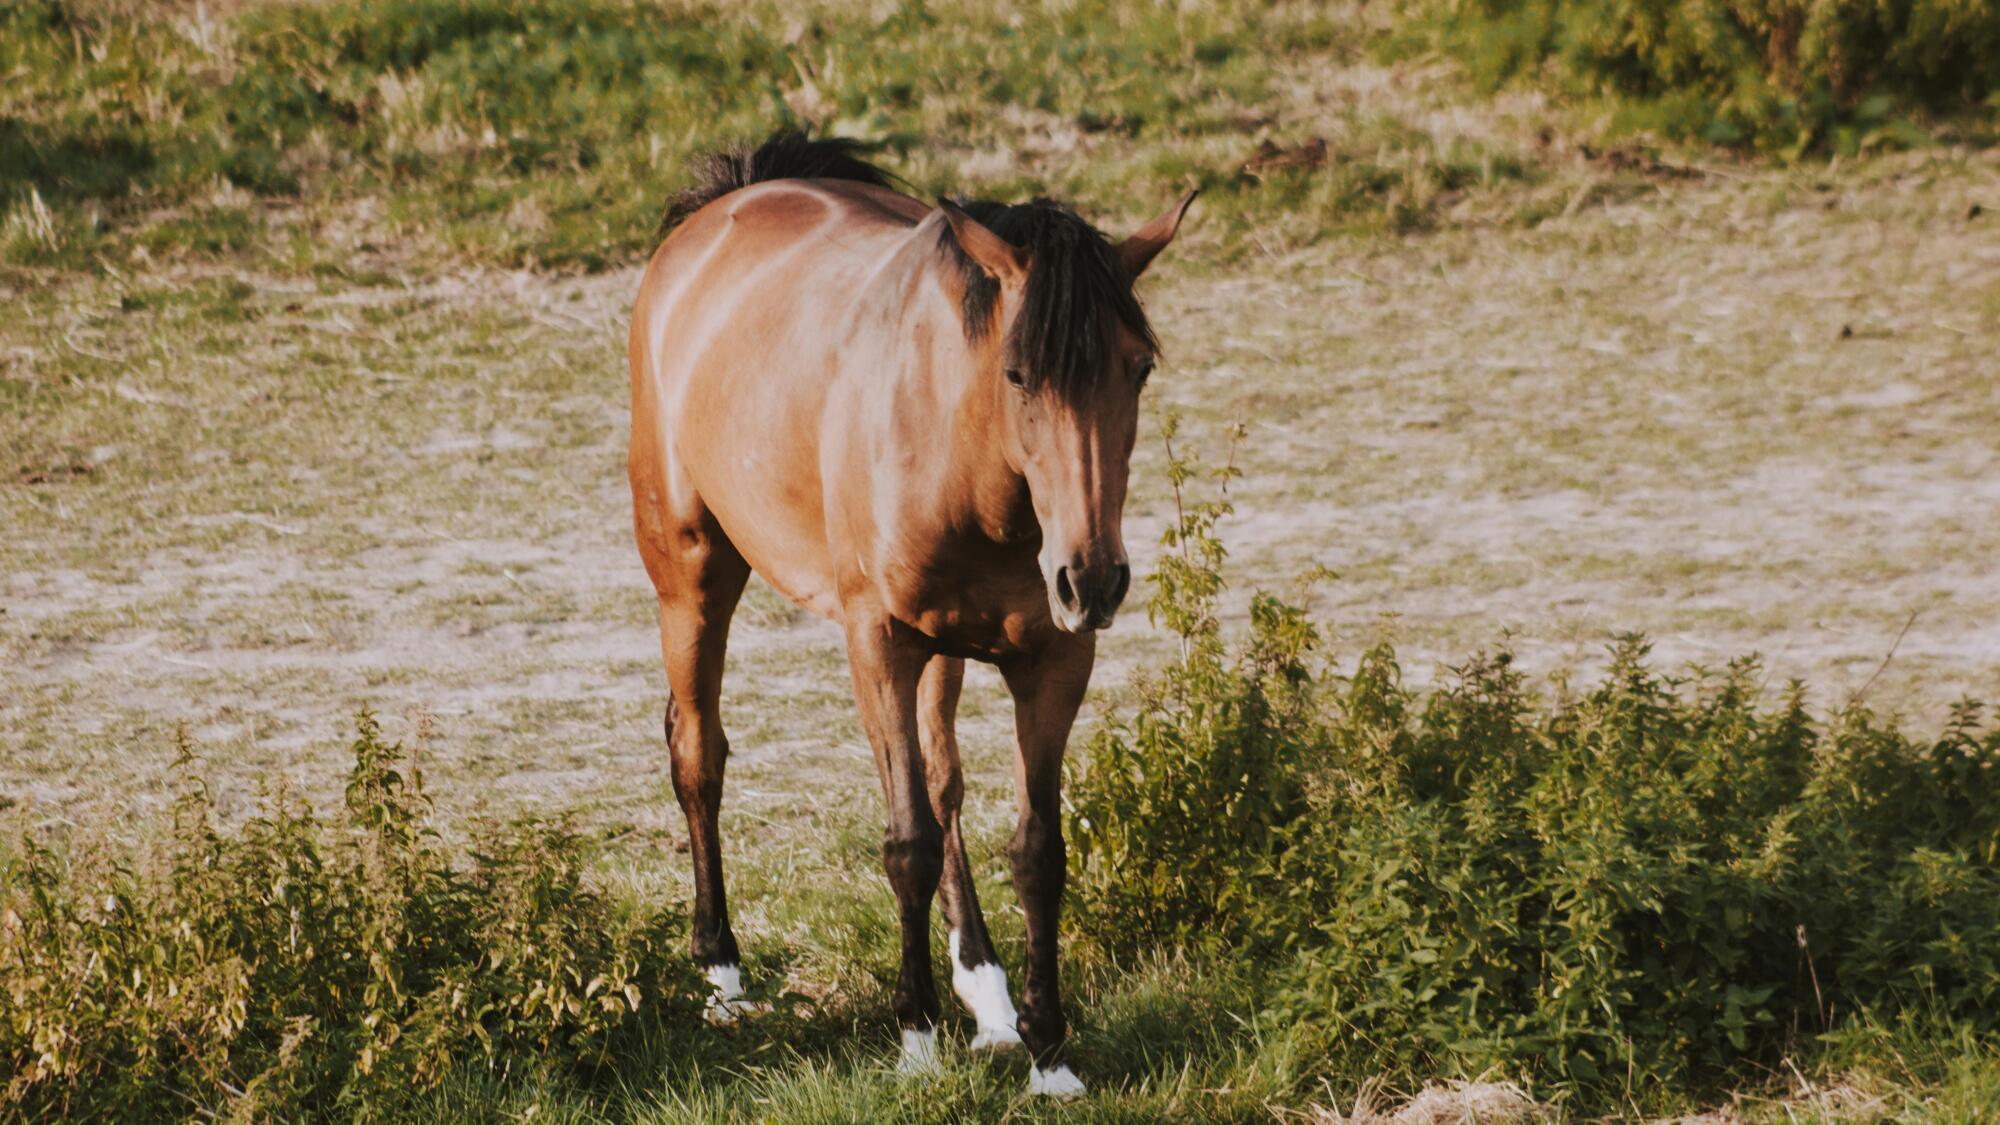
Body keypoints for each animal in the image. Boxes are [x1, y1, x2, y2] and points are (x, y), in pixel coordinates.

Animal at [627, 131, 1192, 1097]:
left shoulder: (1051, 660)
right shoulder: (881, 641)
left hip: (943, 647)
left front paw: (1048, 1050)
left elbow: (1035, 848)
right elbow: (908, 845)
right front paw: (917, 1037)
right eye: (1018, 373)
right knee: (697, 748)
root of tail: (725, 205)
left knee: (940, 778)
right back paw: (724, 974)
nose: (1092, 579)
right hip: (692, 571)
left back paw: (987, 995)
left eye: (1139, 366)